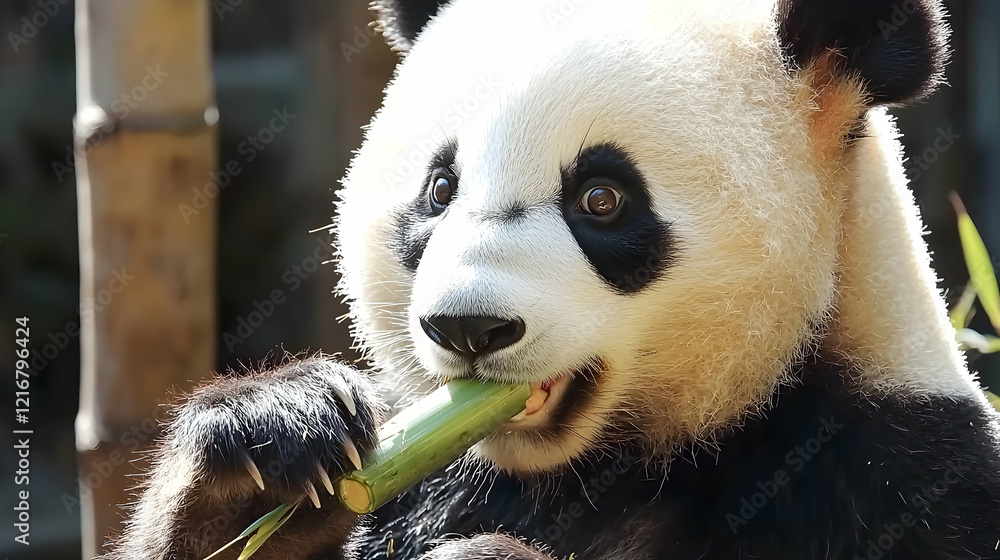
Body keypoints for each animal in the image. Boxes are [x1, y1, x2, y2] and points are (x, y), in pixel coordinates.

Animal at [106, 0, 1000, 558]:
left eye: (601, 198)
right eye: (440, 189)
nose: (469, 328)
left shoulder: (889, 480)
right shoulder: (435, 473)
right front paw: (274, 440)